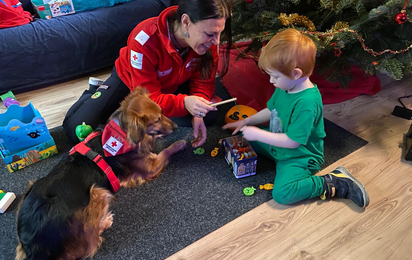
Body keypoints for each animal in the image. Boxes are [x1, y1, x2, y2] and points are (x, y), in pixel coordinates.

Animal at [15, 88, 187, 260]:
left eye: (163, 112)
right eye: (157, 120)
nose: (176, 126)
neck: (121, 131)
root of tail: (34, 247)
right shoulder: (150, 167)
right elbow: (165, 151)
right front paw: (179, 144)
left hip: (31, 187)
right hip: (98, 192)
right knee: (89, 244)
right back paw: (105, 222)